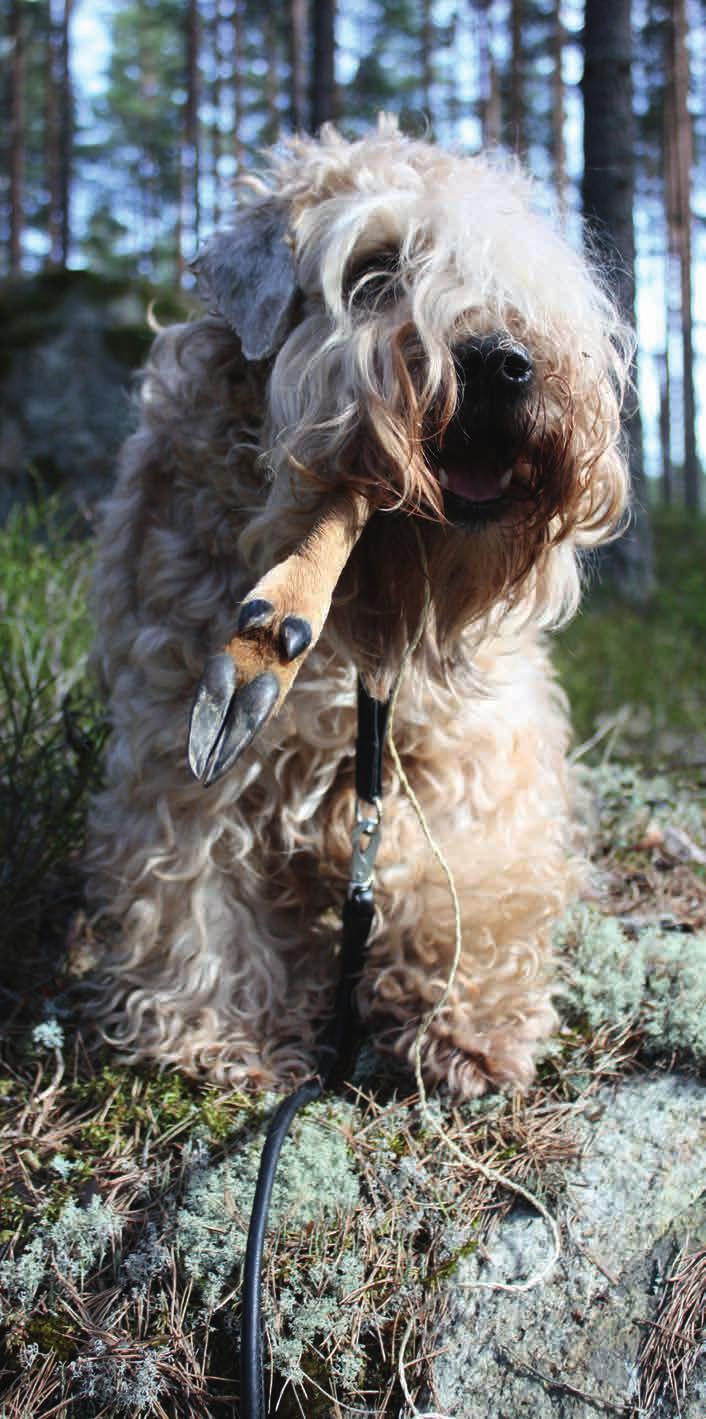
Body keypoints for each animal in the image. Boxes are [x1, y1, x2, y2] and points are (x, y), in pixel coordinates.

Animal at [86, 119, 629, 1095]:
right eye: (375, 268)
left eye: (515, 274)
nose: (502, 362)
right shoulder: (182, 736)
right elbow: (194, 887)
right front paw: (224, 1035)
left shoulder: (475, 750)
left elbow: (470, 869)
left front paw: (468, 1019)